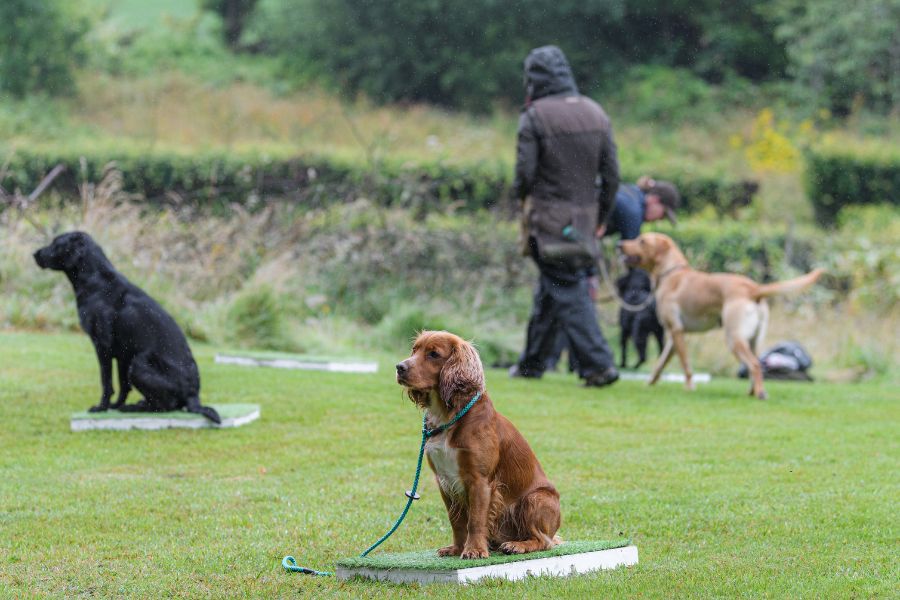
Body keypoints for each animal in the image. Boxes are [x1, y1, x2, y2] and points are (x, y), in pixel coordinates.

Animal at [34, 232, 221, 424]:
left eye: (56, 243)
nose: (35, 254)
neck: (96, 280)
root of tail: (194, 396)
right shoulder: (123, 353)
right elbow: (123, 385)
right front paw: (115, 406)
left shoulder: (103, 346)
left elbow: (107, 382)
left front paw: (101, 408)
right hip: (133, 361)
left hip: (139, 363)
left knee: (168, 405)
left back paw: (136, 407)